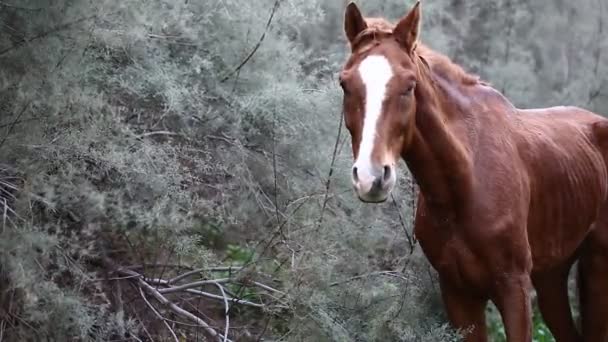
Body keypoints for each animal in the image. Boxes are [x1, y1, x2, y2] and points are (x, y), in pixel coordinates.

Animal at [340, 1, 608, 340]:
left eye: (409, 86)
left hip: (597, 266)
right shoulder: (458, 294)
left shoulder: (514, 288)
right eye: (345, 84)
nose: (371, 177)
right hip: (552, 277)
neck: (466, 180)